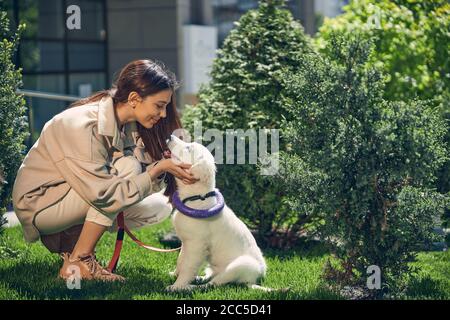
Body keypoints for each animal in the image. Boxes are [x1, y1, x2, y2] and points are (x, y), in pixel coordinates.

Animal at [167, 134, 268, 292]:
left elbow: (187, 266)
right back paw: (199, 278)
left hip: (240, 265)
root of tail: (255, 280)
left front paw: (177, 286)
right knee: (212, 276)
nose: (170, 136)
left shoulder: (196, 245)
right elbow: (181, 260)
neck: (197, 196)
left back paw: (193, 286)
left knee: (215, 283)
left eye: (188, 148)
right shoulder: (186, 243)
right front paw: (174, 274)